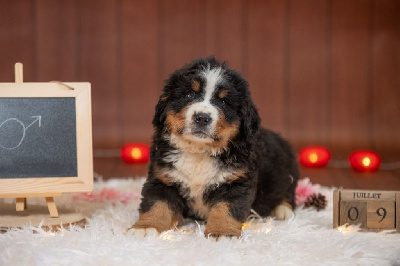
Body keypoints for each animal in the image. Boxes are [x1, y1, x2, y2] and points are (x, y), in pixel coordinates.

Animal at [128, 56, 296, 239]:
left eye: (223, 101)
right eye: (189, 94)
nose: (202, 117)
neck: (198, 152)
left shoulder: (236, 181)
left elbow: (226, 209)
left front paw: (222, 233)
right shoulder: (163, 177)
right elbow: (157, 204)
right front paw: (146, 227)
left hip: (288, 173)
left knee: (287, 193)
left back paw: (283, 210)